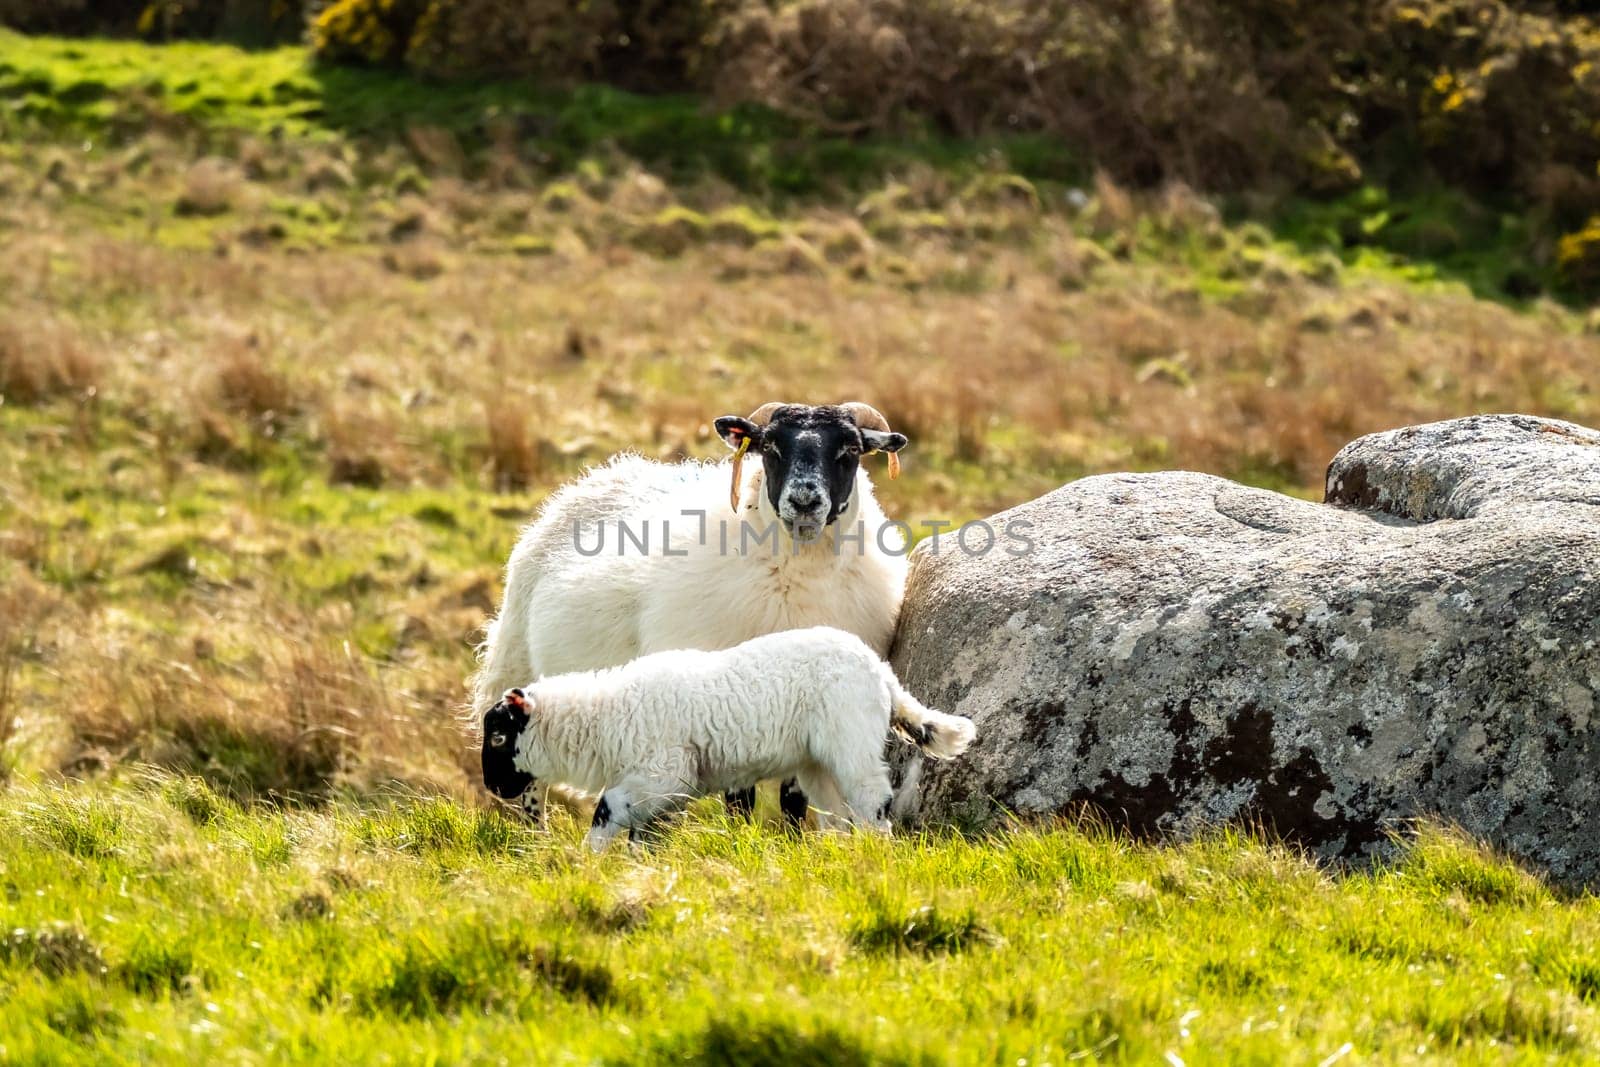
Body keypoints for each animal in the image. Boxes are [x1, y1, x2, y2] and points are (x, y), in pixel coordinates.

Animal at [467, 399, 908, 825]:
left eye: (850, 450)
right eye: (770, 447)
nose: (804, 501)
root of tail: (600, 476)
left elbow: (793, 798)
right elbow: (740, 799)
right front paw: (739, 837)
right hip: (520, 666)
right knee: (529, 789)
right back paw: (535, 838)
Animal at [473, 627, 972, 851]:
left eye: (497, 737)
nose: (492, 787)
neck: (605, 718)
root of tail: (881, 672)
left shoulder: (665, 772)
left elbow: (606, 807)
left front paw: (587, 860)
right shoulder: (662, 790)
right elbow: (642, 833)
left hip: (852, 740)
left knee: (872, 803)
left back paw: (875, 855)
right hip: (818, 760)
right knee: (838, 815)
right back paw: (839, 856)